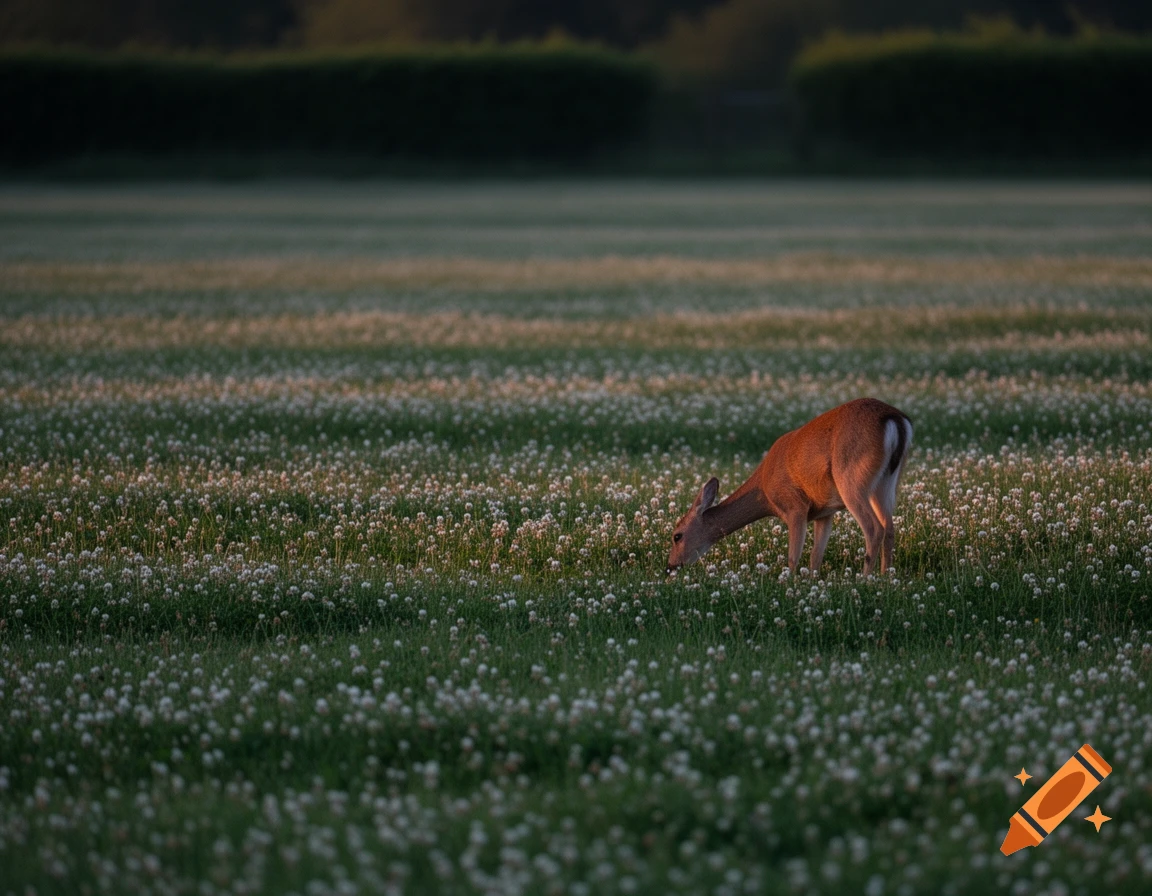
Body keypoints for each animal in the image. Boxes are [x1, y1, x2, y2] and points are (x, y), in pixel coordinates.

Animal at [666, 398, 912, 577]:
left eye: (677, 536)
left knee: (874, 528)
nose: (670, 567)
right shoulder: (826, 511)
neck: (764, 492)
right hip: (888, 482)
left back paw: (865, 579)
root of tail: (897, 420)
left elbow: (793, 558)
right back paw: (886, 577)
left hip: (852, 478)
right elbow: (815, 556)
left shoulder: (795, 506)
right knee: (889, 527)